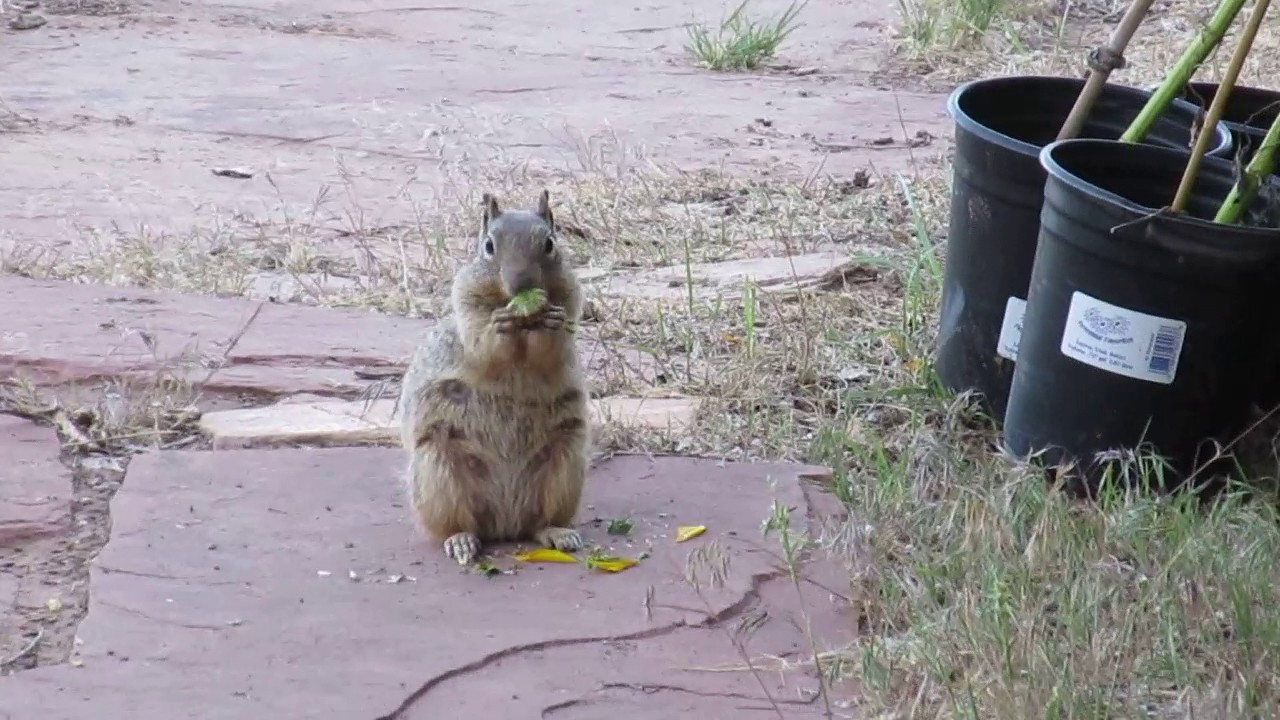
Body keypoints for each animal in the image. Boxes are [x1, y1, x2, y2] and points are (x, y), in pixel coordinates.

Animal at [397, 189, 589, 566]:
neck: (523, 325)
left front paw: (549, 322)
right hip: (438, 470)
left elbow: (552, 347)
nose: (522, 284)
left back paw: (557, 532)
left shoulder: (571, 301)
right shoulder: (467, 309)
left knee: (539, 523)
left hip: (565, 465)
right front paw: (500, 324)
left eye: (550, 243)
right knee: (457, 523)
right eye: (488, 246)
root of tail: (505, 523)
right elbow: (484, 346)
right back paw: (461, 541)